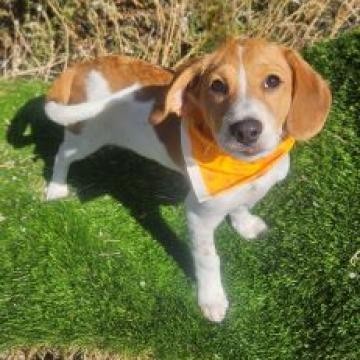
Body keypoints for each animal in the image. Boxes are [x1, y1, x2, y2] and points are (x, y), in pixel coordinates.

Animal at [43, 39, 330, 324]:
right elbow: (208, 260)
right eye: (217, 86)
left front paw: (244, 225)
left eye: (273, 81)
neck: (245, 167)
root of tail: (84, 65)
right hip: (84, 136)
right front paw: (212, 299)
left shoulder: (254, 187)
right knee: (62, 155)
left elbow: (241, 206)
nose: (246, 130)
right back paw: (56, 188)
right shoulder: (197, 216)